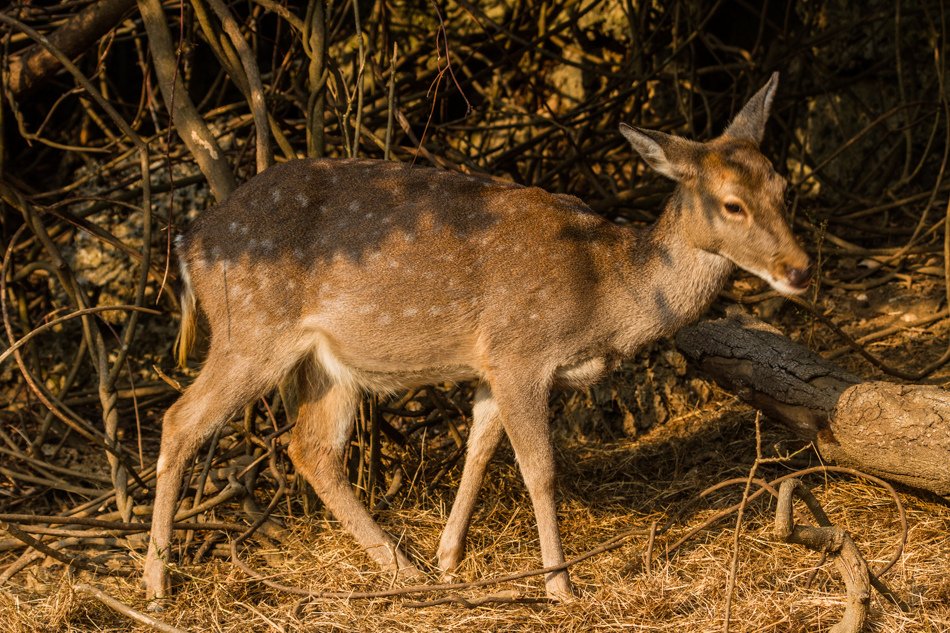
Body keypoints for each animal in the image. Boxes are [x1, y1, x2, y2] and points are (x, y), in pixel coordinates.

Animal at [145, 74, 816, 604]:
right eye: (731, 205)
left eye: (784, 189)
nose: (799, 269)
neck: (606, 291)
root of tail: (189, 243)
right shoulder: (522, 350)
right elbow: (539, 469)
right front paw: (560, 585)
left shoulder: (493, 364)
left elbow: (478, 450)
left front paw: (448, 560)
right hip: (251, 330)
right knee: (181, 420)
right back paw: (156, 582)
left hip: (328, 361)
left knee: (311, 449)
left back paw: (405, 570)